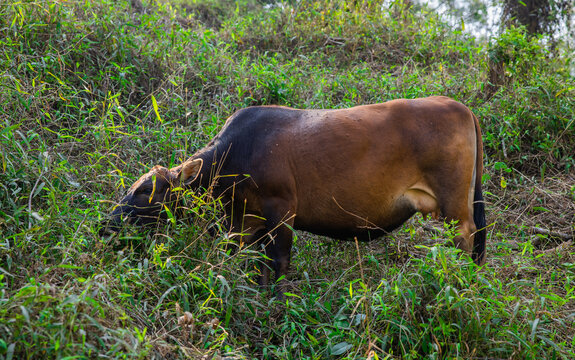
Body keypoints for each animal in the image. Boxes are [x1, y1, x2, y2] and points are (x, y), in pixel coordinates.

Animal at [102, 95, 486, 290]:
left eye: (145, 189)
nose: (108, 223)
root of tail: (459, 105)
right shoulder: (247, 221)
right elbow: (254, 265)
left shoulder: (281, 211)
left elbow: (280, 263)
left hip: (454, 206)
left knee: (466, 237)